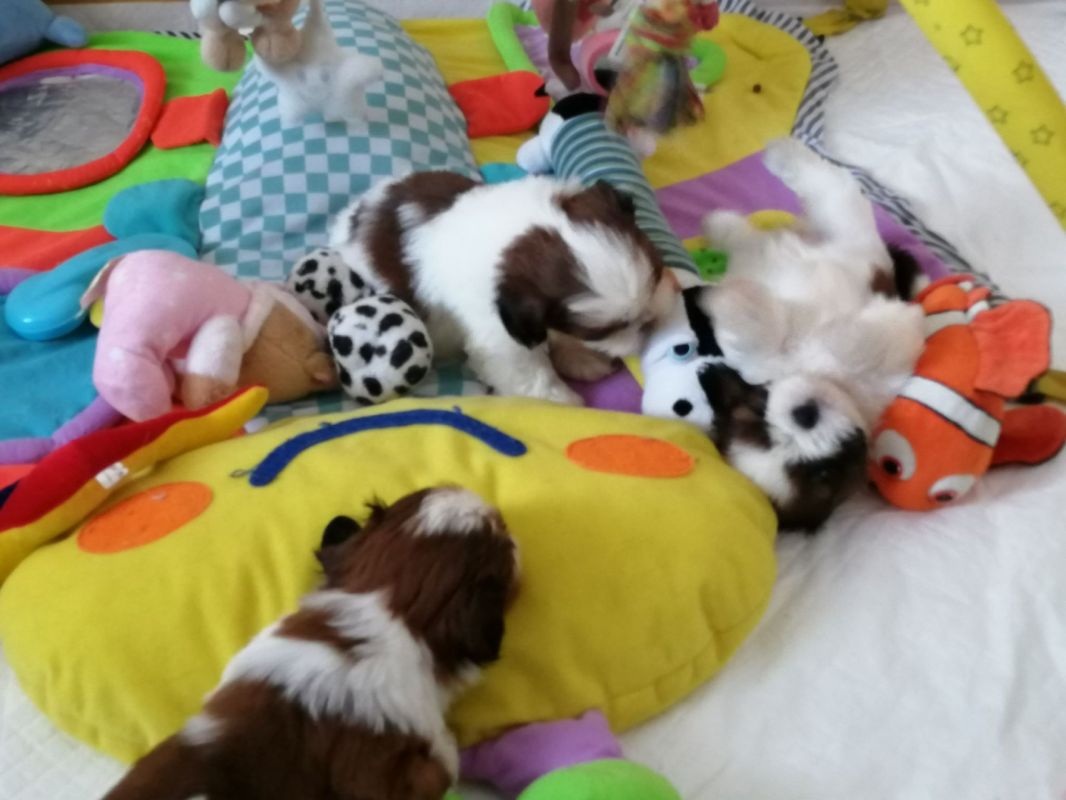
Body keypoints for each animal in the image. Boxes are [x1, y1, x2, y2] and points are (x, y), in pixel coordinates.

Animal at [329, 172, 677, 405]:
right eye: (606, 331)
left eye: (659, 272)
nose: (649, 323)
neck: (520, 234)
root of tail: (353, 214)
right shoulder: (502, 336)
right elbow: (528, 372)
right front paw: (560, 400)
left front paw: (580, 359)